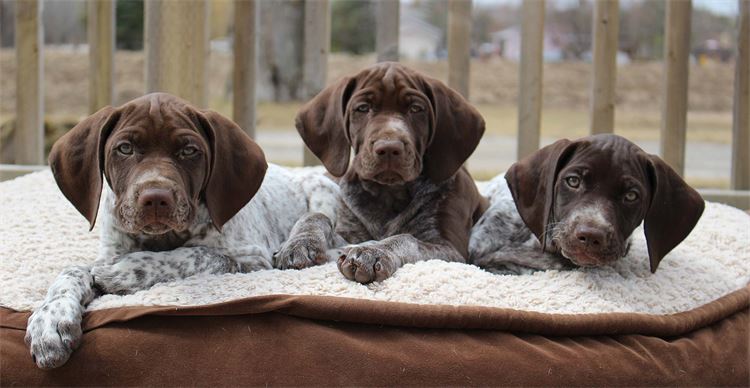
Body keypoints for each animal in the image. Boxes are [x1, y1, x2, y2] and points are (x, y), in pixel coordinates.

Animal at [24, 92, 340, 368]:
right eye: (125, 148)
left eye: (189, 151)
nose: (155, 198)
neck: (161, 237)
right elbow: (72, 271)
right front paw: (50, 321)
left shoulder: (250, 260)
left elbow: (193, 255)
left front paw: (125, 272)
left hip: (321, 191)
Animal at [290, 62, 490, 284]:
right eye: (363, 108)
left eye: (416, 109)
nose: (388, 148)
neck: (389, 193)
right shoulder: (348, 233)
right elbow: (316, 216)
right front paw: (301, 243)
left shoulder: (450, 249)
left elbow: (407, 239)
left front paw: (374, 251)